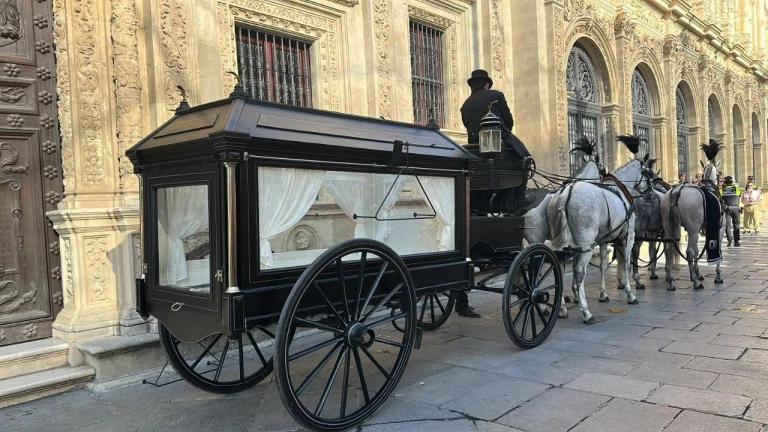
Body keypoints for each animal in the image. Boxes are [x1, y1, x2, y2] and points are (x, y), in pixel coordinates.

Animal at [547, 158, 655, 323]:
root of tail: (566, 194)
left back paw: (562, 308)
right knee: (579, 270)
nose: (652, 194)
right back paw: (586, 312)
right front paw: (630, 294)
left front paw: (603, 294)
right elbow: (627, 264)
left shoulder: (604, 239)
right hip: (586, 243)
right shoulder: (628, 236)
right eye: (648, 174)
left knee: (560, 267)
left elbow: (603, 265)